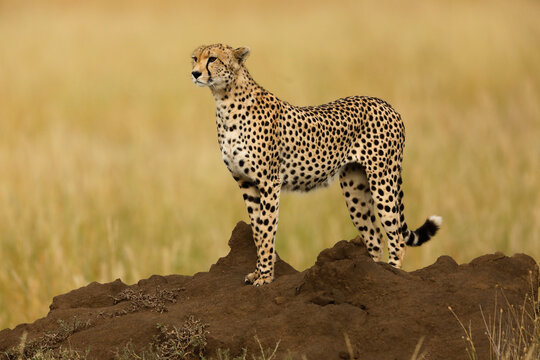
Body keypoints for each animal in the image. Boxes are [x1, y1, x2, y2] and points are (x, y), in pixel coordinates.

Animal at [192, 43, 440, 286]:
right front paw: (257, 272)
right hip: (354, 188)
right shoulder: (246, 183)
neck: (225, 100)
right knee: (375, 237)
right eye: (194, 58)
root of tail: (386, 104)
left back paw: (393, 273)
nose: (194, 73)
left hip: (383, 180)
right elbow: (257, 231)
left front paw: (265, 276)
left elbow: (266, 230)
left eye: (212, 58)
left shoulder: (269, 182)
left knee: (397, 238)